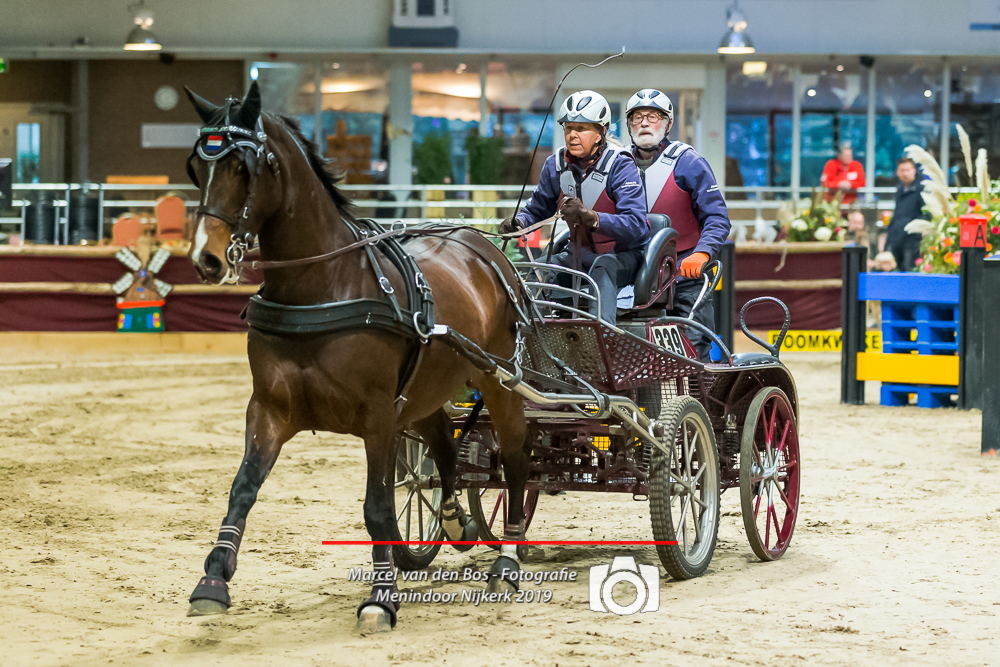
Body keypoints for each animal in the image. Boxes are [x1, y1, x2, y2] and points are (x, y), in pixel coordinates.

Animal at [185, 83, 536, 632]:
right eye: (196, 168)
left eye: (244, 167)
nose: (206, 259)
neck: (322, 288)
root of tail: (484, 244)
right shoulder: (269, 408)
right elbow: (242, 488)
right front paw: (213, 579)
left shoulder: (378, 416)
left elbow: (377, 509)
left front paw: (381, 597)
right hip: (426, 390)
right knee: (444, 449)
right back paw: (455, 521)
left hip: (500, 381)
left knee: (517, 461)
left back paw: (508, 560)